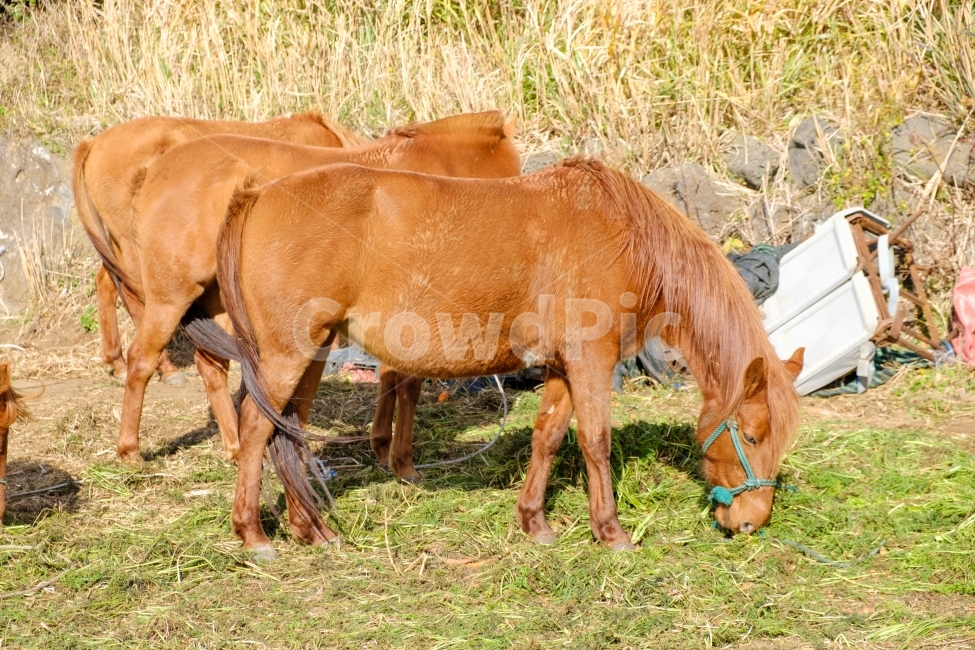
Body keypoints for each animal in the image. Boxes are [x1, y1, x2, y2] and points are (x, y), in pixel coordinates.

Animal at [103, 112, 520, 464]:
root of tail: (156, 169)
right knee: (142, 361)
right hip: (172, 298)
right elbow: (406, 385)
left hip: (218, 302)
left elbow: (391, 381)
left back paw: (236, 447)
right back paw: (130, 450)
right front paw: (398, 456)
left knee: (212, 368)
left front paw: (381, 445)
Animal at [212, 157, 804, 559]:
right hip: (287, 355)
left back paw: (312, 529)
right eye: (752, 436)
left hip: (310, 354)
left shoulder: (564, 367)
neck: (623, 233)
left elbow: (549, 436)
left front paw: (534, 522)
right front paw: (611, 532)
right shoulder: (592, 362)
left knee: (287, 432)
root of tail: (258, 195)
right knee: (256, 429)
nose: (751, 522)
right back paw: (254, 534)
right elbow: (596, 442)